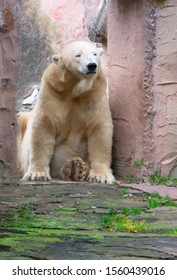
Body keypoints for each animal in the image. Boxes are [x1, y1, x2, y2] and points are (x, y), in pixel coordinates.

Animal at [17, 39, 115, 184]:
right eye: (78, 55)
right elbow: (44, 125)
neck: (74, 90)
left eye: (95, 53)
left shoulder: (95, 93)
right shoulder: (52, 91)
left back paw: (75, 168)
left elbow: (99, 129)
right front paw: (38, 174)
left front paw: (100, 176)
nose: (92, 65)